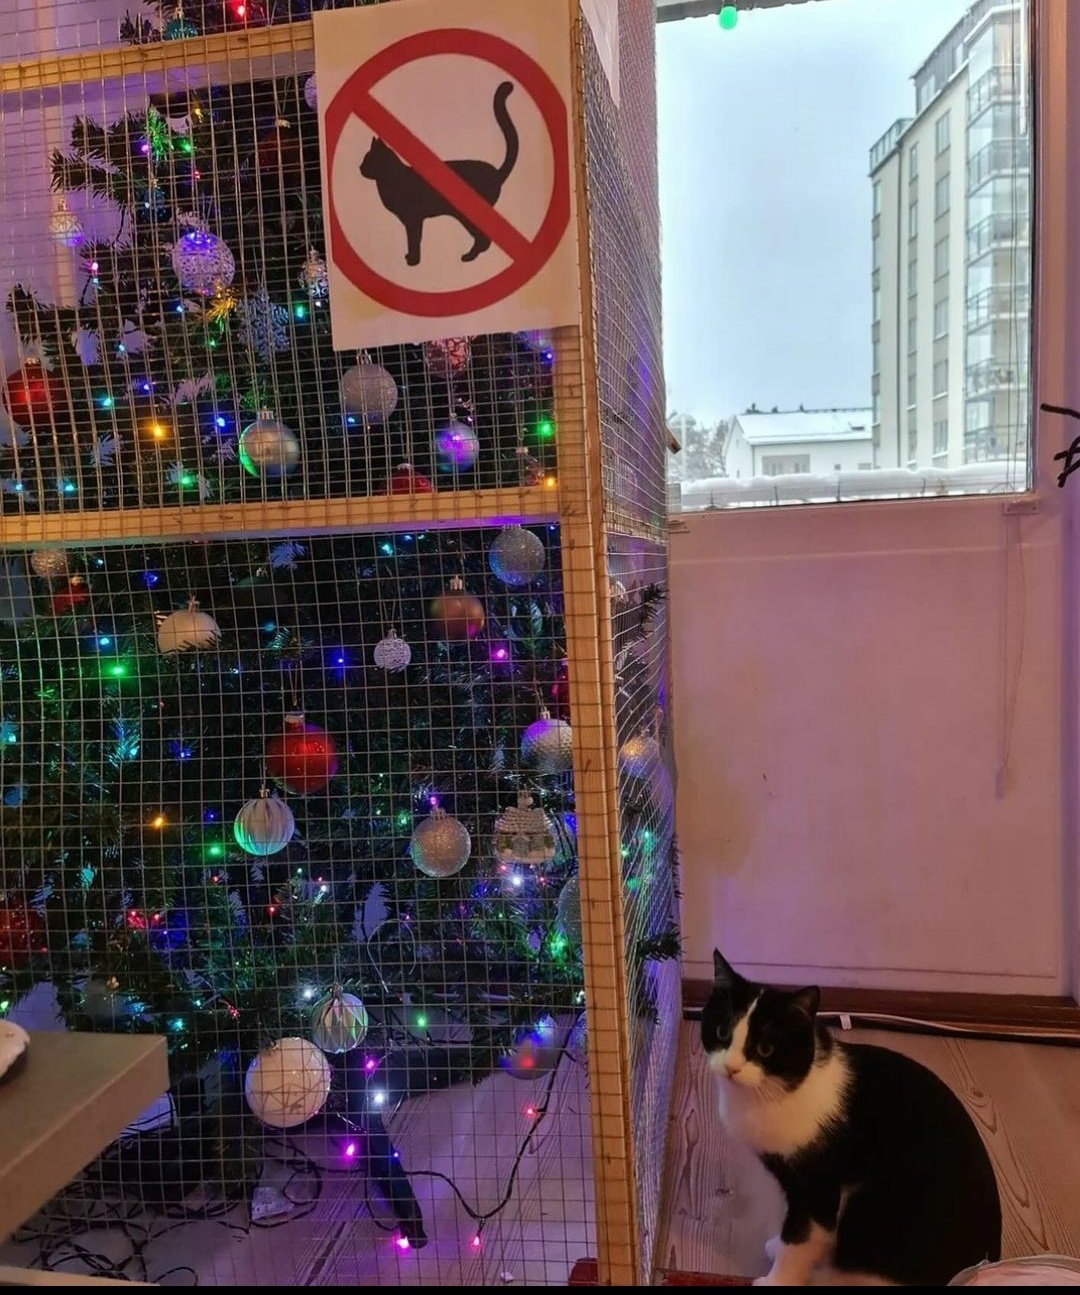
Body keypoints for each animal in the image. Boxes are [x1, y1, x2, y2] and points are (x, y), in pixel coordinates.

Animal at [360, 81, 519, 268]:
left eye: (369, 160)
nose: (360, 168)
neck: (390, 179)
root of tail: (495, 172)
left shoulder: (413, 219)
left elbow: (414, 240)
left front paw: (413, 260)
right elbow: (413, 240)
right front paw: (410, 257)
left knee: (483, 238)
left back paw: (469, 256)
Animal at [701, 950, 1001, 1287]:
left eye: (766, 1049)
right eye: (722, 1033)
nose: (731, 1067)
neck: (779, 1091)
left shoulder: (817, 1187)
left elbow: (800, 1237)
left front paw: (777, 1280)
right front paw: (778, 1249)